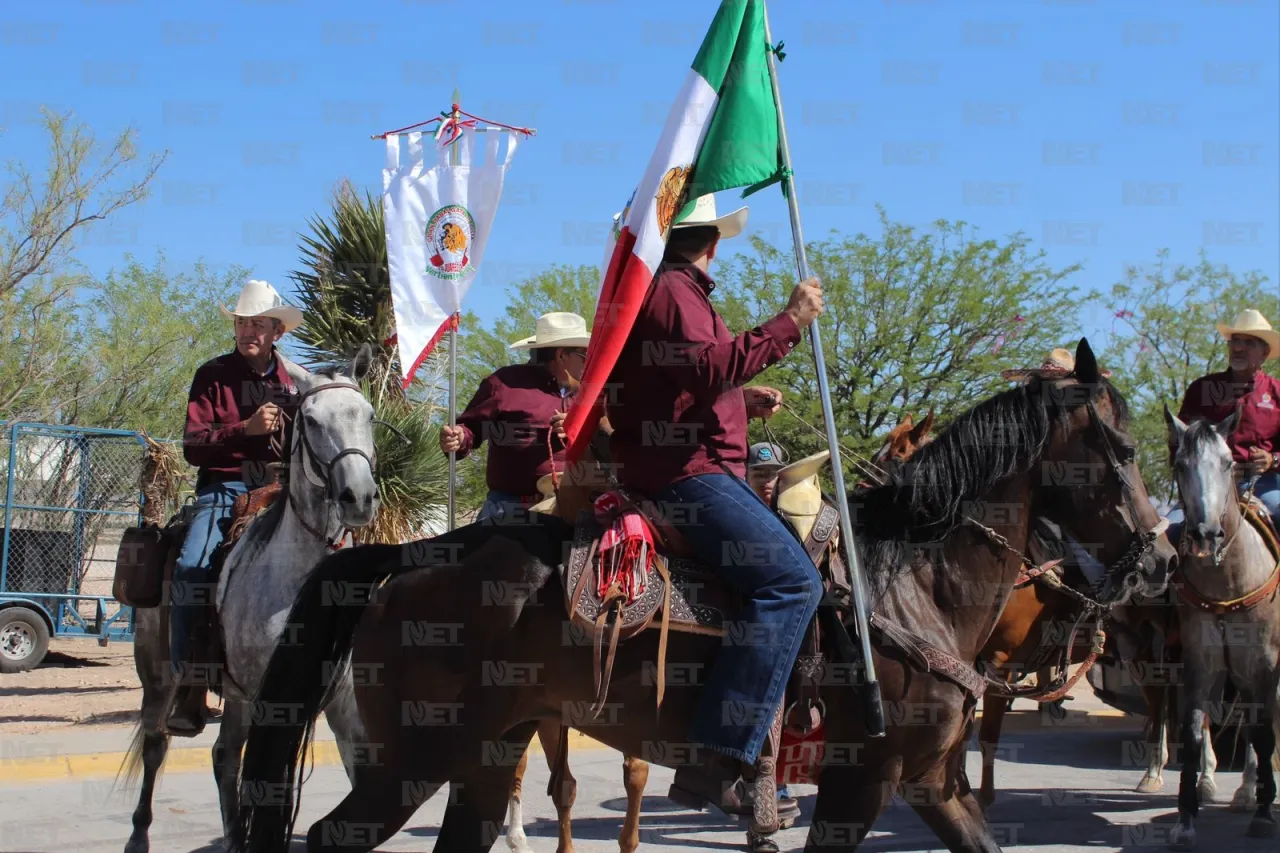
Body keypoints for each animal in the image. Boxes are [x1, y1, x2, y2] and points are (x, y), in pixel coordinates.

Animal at [117, 348, 378, 850]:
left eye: (369, 415)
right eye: (310, 420)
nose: (358, 497)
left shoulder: (344, 707)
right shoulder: (273, 704)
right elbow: (268, 790)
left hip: (236, 697)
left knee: (224, 756)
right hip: (158, 678)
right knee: (157, 743)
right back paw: (138, 834)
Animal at [1167, 404, 1280, 845]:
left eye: (1229, 462)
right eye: (1180, 463)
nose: (1206, 534)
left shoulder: (1263, 660)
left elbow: (1263, 733)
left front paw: (1263, 814)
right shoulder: (1201, 660)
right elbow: (1194, 730)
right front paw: (1185, 818)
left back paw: (1253, 793)